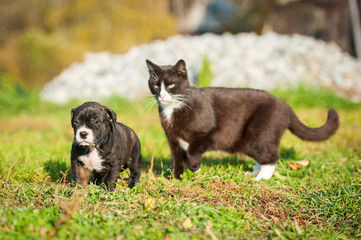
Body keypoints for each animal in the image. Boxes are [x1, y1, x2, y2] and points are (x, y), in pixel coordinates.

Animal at [145, 59, 338, 180]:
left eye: (171, 85)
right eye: (155, 85)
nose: (162, 95)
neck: (174, 108)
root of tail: (286, 106)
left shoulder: (209, 132)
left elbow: (192, 151)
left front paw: (196, 168)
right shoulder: (173, 139)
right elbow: (177, 159)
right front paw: (177, 179)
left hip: (258, 133)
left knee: (271, 156)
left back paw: (260, 179)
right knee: (264, 155)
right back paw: (254, 173)